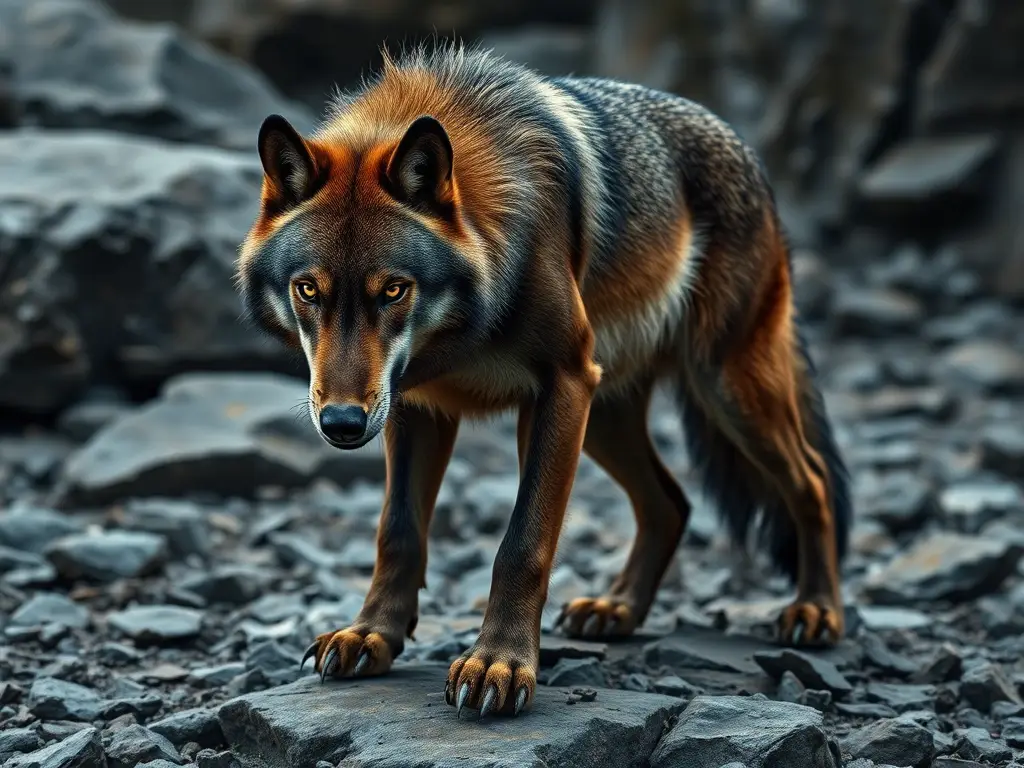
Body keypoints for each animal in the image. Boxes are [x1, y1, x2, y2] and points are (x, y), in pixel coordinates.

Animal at [236, 43, 852, 719]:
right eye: (308, 290)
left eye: (394, 290)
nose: (341, 424)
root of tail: (745, 149)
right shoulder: (416, 407)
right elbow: (397, 533)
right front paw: (372, 634)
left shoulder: (561, 385)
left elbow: (523, 543)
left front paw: (499, 664)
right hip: (609, 417)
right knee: (671, 502)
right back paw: (618, 609)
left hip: (726, 392)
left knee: (812, 481)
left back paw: (817, 611)